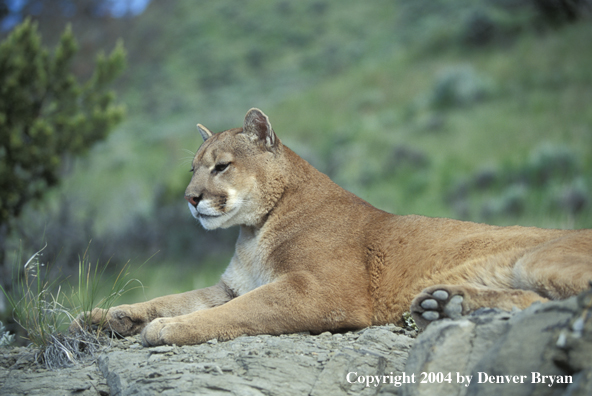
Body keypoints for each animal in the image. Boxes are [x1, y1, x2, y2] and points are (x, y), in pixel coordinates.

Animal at [73, 106, 592, 344]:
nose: (190, 198)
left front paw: (167, 328)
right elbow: (177, 297)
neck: (254, 231)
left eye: (221, 167)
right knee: (533, 301)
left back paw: (446, 305)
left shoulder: (318, 289)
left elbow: (240, 311)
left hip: (540, 259)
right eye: (193, 169)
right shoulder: (230, 285)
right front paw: (106, 316)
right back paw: (445, 305)